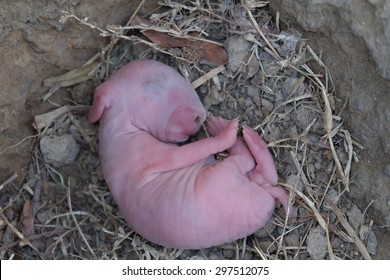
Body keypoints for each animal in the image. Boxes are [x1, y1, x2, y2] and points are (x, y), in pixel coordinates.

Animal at [88, 59, 290, 249]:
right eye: (154, 84)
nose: (198, 118)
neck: (118, 130)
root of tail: (265, 188)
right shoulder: (146, 153)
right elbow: (189, 152)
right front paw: (226, 134)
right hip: (226, 172)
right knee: (248, 161)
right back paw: (233, 131)